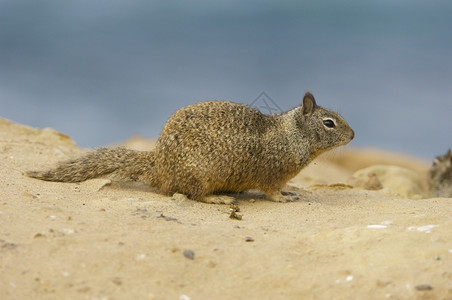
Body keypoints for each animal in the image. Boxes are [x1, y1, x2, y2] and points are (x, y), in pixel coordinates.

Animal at [26, 92, 354, 204]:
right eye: (329, 123)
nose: (353, 135)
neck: (291, 135)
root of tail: (158, 167)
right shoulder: (273, 174)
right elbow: (272, 191)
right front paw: (284, 197)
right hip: (201, 176)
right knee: (192, 195)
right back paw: (218, 199)